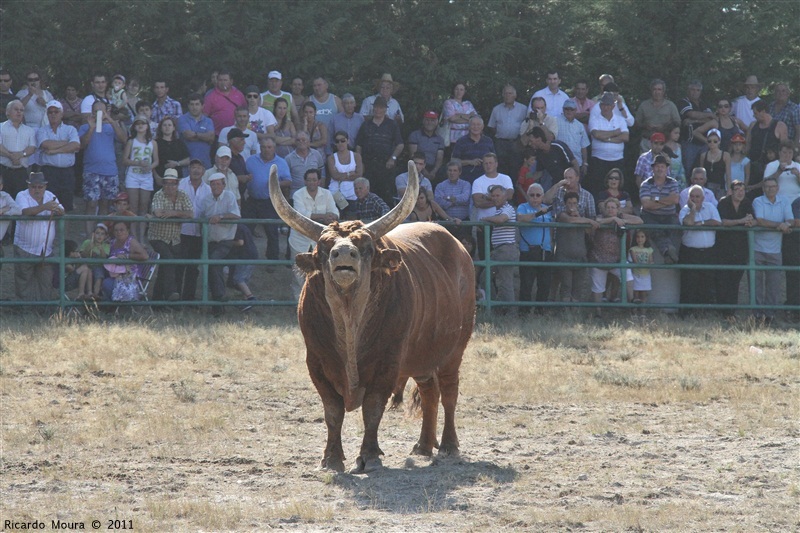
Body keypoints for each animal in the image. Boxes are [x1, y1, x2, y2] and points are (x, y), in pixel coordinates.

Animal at [268, 163, 472, 474]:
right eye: (324, 248)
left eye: (366, 247)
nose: (343, 253)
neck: (350, 317)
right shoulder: (316, 361)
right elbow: (333, 411)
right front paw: (331, 458)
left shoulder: (387, 362)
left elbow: (373, 409)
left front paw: (370, 456)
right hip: (422, 356)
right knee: (429, 392)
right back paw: (424, 445)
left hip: (455, 349)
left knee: (449, 391)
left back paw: (448, 445)